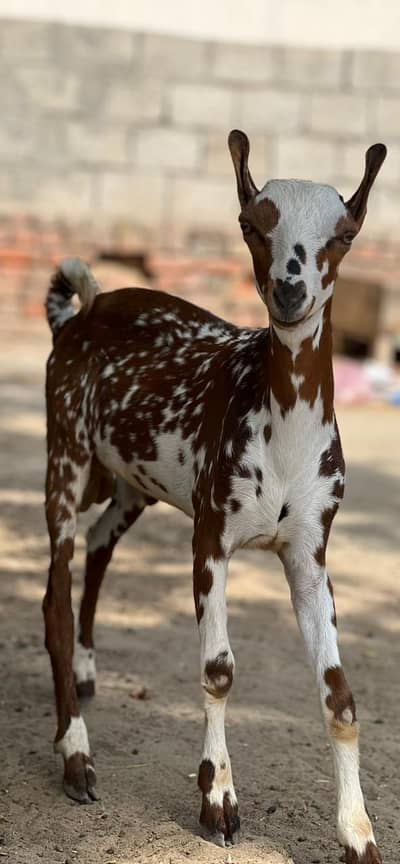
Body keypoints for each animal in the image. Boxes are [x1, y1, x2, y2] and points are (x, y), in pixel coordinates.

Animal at [43, 130, 386, 863]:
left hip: (133, 484)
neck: (281, 428)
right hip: (67, 455)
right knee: (56, 591)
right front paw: (218, 798)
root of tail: (84, 310)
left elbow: (340, 697)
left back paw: (85, 673)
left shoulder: (309, 556)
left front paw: (358, 832)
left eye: (344, 234)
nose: (290, 290)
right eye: (252, 225)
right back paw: (76, 755)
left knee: (98, 545)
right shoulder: (213, 540)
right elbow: (220, 669)